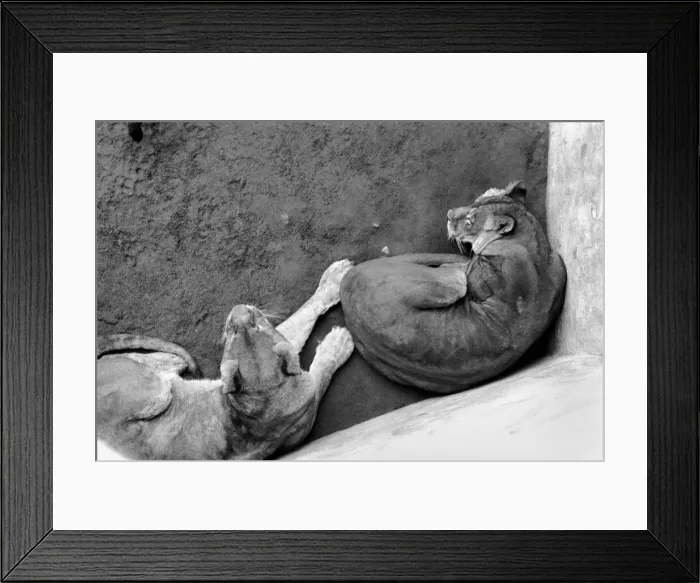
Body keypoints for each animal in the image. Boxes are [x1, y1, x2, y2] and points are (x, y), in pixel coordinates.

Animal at [97, 259, 355, 460]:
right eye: (246, 325)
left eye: (239, 329)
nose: (238, 310)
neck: (264, 399)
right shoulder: (310, 390)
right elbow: (308, 329)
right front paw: (339, 337)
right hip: (156, 391)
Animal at [339, 181, 566, 393]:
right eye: (475, 201)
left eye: (469, 222)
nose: (448, 214)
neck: (531, 247)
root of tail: (349, 281)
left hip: (452, 284)